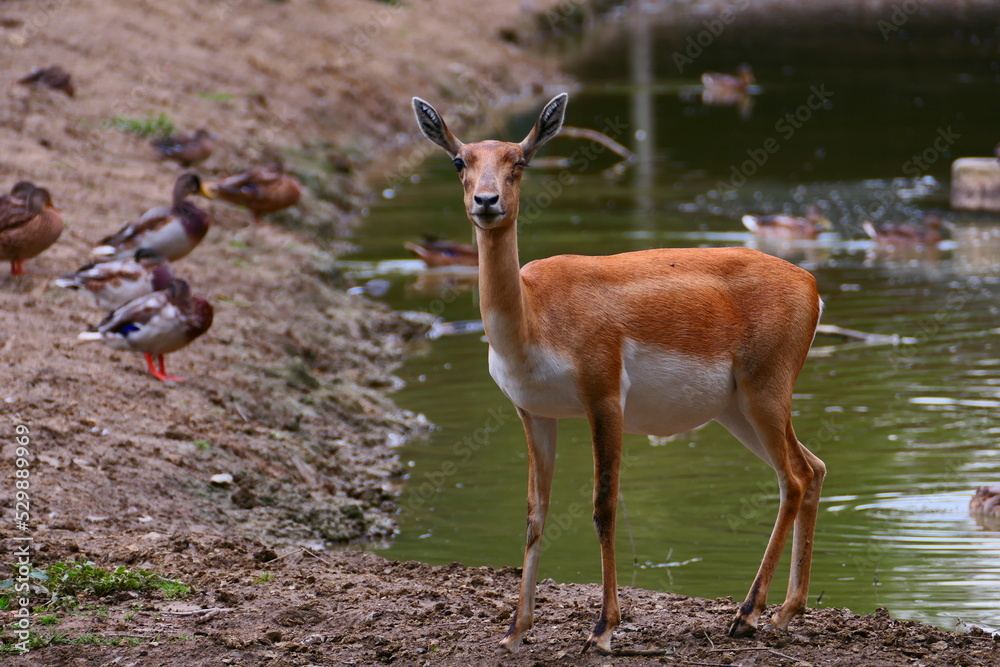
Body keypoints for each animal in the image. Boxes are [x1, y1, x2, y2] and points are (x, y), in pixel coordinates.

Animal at [412, 93, 826, 654]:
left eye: (520, 161)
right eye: (460, 161)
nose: (487, 200)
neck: (534, 315)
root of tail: (810, 285)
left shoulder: (604, 398)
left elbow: (602, 507)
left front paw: (603, 629)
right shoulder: (534, 412)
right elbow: (535, 514)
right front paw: (515, 631)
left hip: (765, 394)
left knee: (795, 478)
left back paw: (748, 616)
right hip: (738, 410)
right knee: (813, 468)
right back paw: (786, 612)